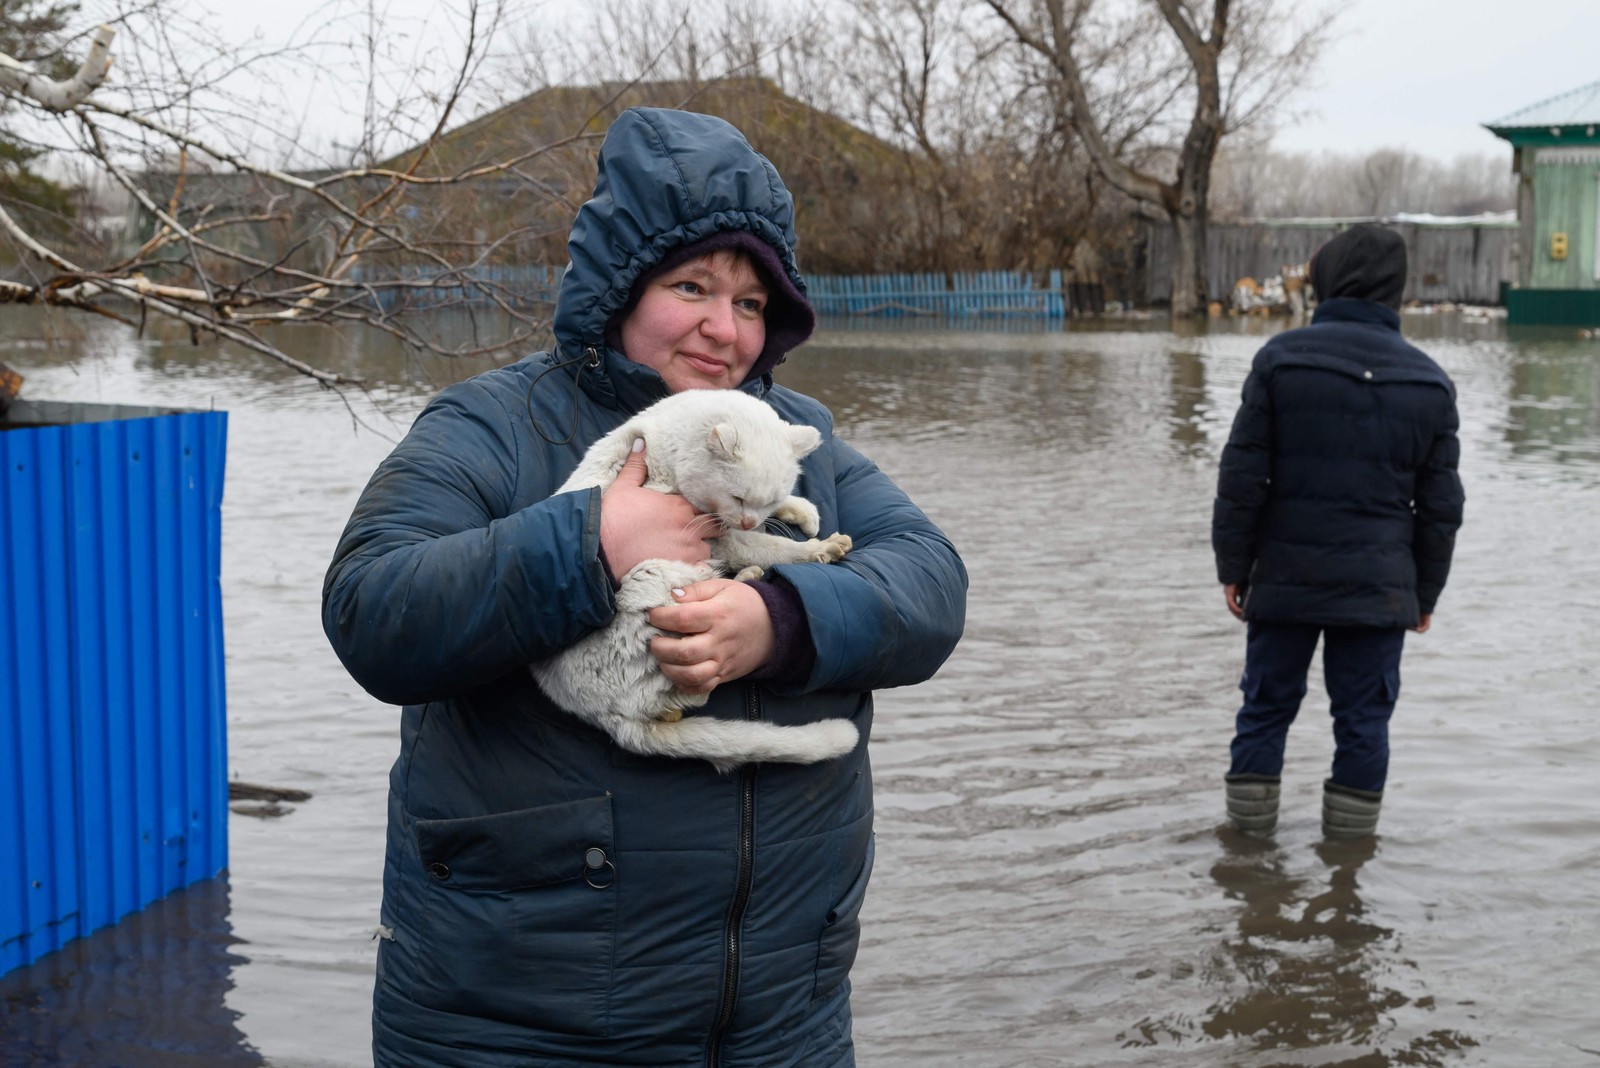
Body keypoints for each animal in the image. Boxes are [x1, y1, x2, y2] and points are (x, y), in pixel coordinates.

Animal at [534, 388, 864, 770]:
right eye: (737, 496)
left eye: (769, 499)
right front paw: (820, 547)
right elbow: (769, 547)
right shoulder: (716, 535)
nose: (749, 520)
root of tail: (607, 718)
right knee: (691, 693)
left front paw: (802, 511)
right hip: (655, 577)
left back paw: (744, 578)